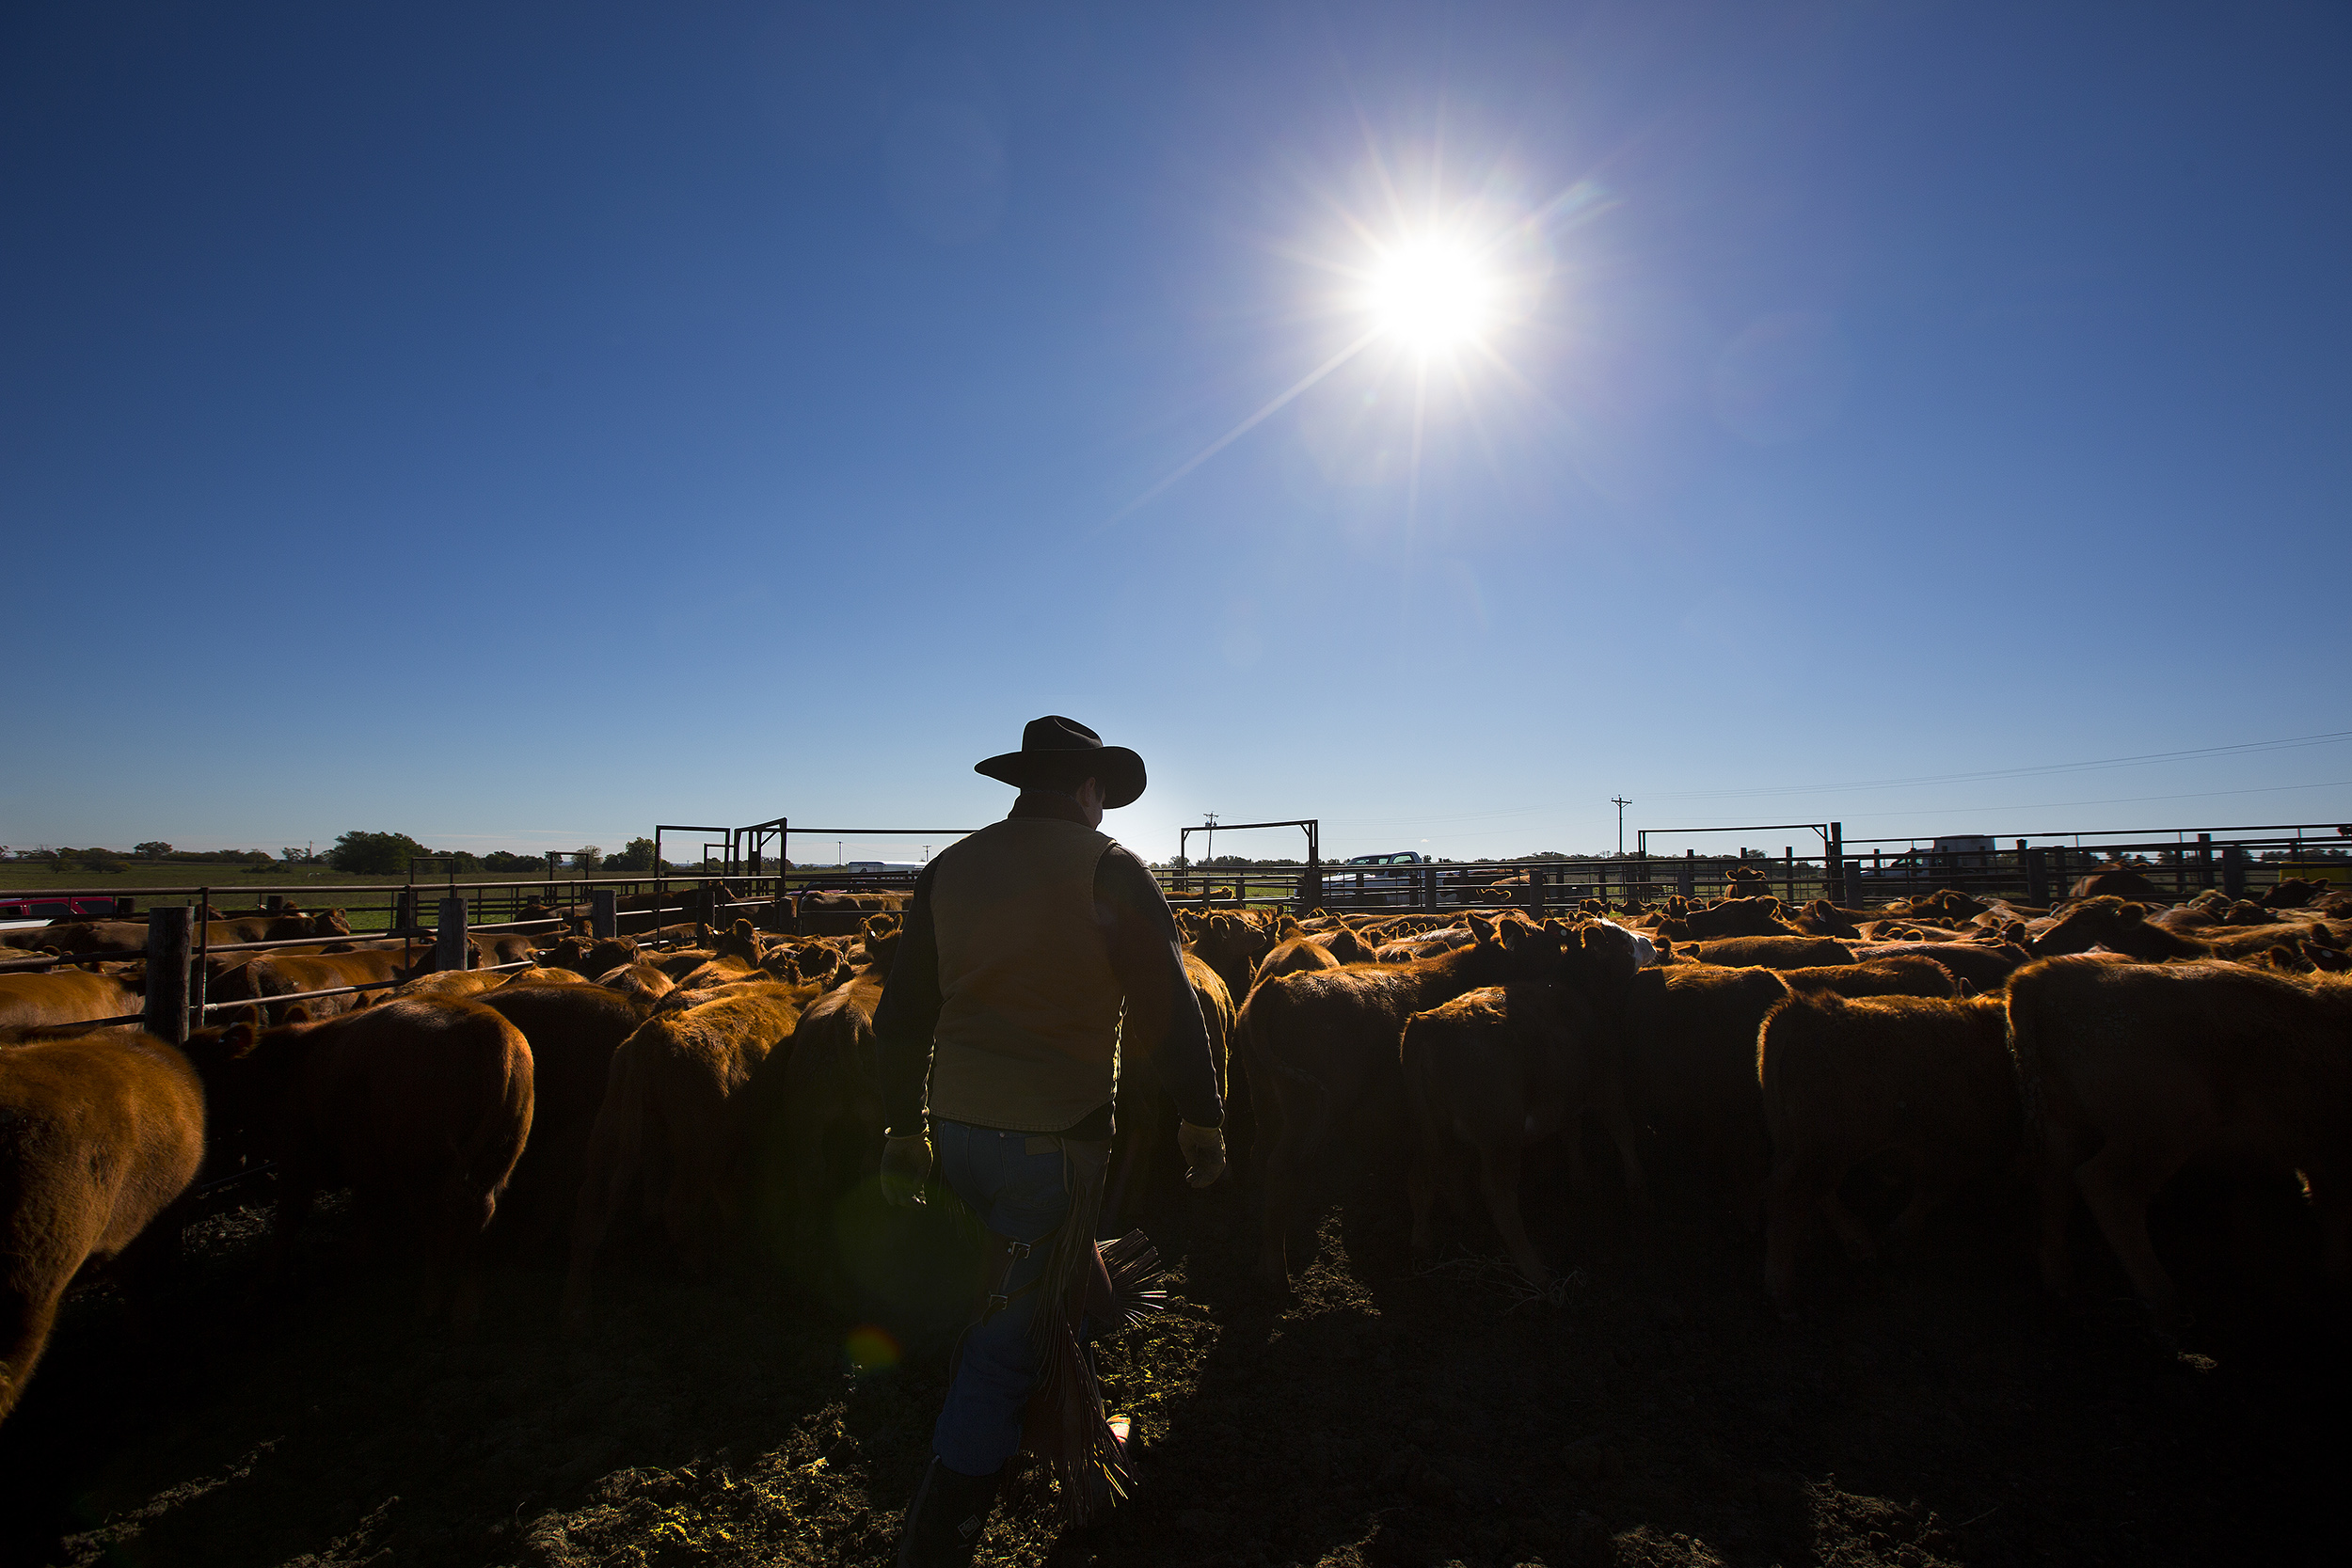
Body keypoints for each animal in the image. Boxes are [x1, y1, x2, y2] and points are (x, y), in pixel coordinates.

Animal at [186, 1001, 533, 1316]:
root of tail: (491, 1031)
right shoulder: (365, 1171)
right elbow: (363, 1222)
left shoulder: (297, 1159)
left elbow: (288, 1222)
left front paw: (260, 1287)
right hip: (498, 1156)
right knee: (478, 1216)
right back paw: (464, 1306)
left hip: (426, 1165)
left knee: (442, 1222)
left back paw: (429, 1305)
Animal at [1769, 991, 2023, 1316]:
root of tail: (1804, 1009)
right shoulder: (1956, 1145)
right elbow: (1933, 1190)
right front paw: (1898, 1240)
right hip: (1829, 1147)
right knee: (1791, 1196)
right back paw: (1783, 1295)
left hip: (1805, 1145)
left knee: (1805, 1190)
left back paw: (1857, 1244)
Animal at [2004, 949, 2352, 1335]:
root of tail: (2048, 973)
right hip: (2168, 1129)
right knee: (2106, 1186)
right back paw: (2162, 1301)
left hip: (2067, 1125)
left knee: (2054, 1182)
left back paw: (2061, 1284)